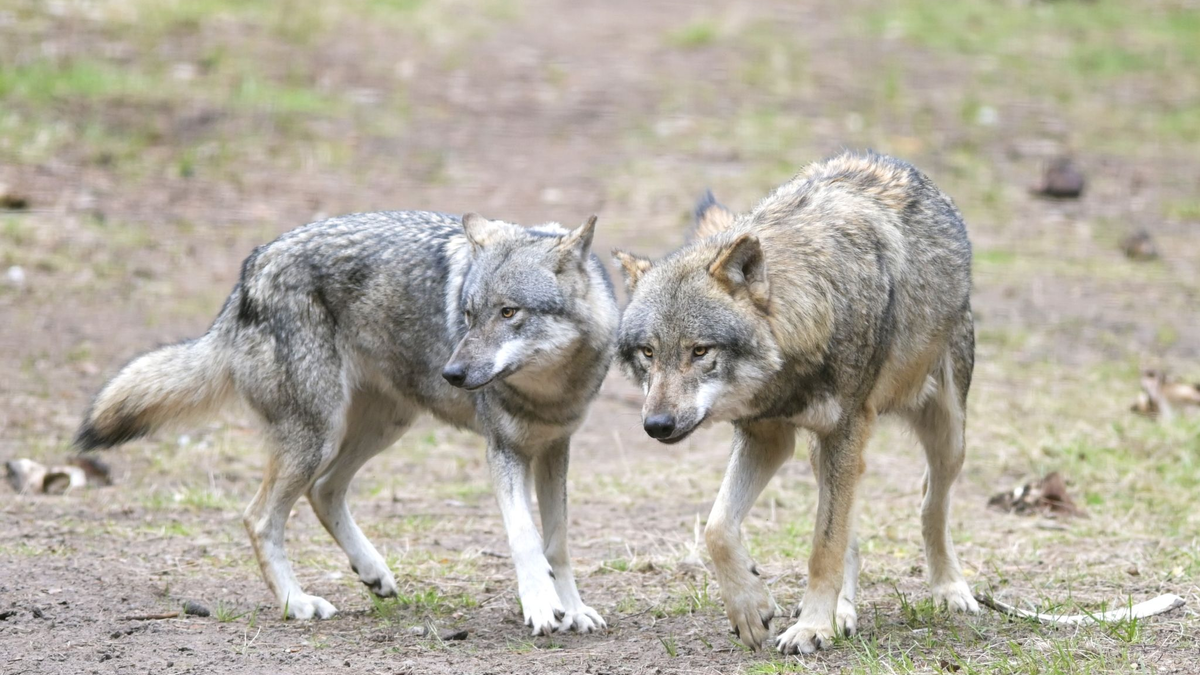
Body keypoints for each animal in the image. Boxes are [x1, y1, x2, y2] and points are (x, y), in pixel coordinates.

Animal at [76, 210, 617, 635]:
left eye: (508, 313)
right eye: (467, 314)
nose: (453, 373)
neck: (549, 390)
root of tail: (250, 271)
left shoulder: (554, 449)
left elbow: (557, 543)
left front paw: (573, 609)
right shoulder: (503, 451)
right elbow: (525, 538)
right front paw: (542, 607)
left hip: (382, 426)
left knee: (324, 491)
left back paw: (371, 572)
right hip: (318, 437)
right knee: (259, 516)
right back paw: (297, 604)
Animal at [613, 152, 979, 653]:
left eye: (700, 351)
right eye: (648, 353)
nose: (657, 425)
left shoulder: (844, 430)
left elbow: (824, 547)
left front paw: (811, 626)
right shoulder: (766, 436)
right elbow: (717, 528)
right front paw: (752, 609)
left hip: (947, 435)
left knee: (929, 503)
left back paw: (949, 589)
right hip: (822, 452)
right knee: (852, 531)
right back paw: (844, 611)